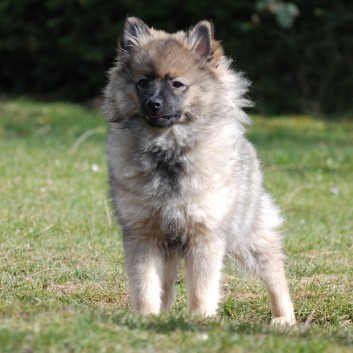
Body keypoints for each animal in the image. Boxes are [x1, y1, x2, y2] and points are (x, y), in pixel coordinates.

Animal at [102, 17, 294, 324]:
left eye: (177, 84)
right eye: (142, 82)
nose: (152, 104)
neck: (168, 151)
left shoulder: (203, 234)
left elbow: (202, 286)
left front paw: (200, 318)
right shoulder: (144, 233)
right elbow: (145, 283)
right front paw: (146, 316)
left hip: (246, 234)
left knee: (273, 270)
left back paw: (284, 317)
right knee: (167, 286)